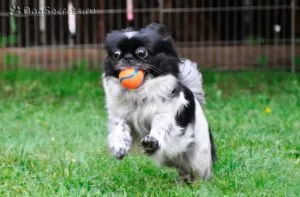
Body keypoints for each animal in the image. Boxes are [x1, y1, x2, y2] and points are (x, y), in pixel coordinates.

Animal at [103, 23, 216, 182]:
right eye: (116, 54)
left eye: (141, 53)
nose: (127, 57)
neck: (139, 95)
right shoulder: (120, 116)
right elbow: (120, 128)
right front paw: (120, 147)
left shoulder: (164, 114)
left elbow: (159, 127)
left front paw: (152, 142)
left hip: (200, 156)